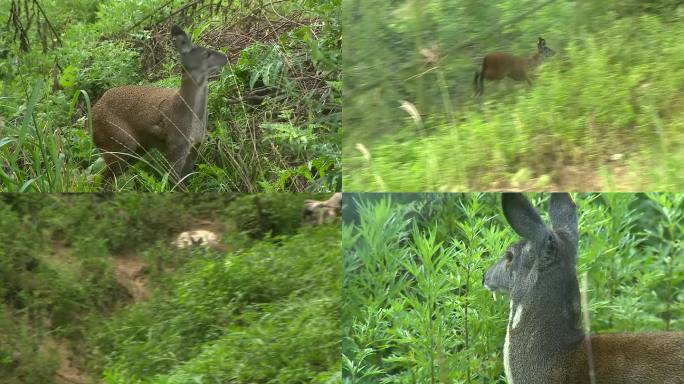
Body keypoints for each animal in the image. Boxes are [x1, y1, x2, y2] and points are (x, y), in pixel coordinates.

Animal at [91, 25, 228, 190]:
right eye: (207, 53)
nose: (226, 57)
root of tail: (91, 116)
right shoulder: (176, 145)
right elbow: (176, 183)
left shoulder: (196, 146)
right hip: (119, 142)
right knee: (103, 178)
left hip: (138, 149)